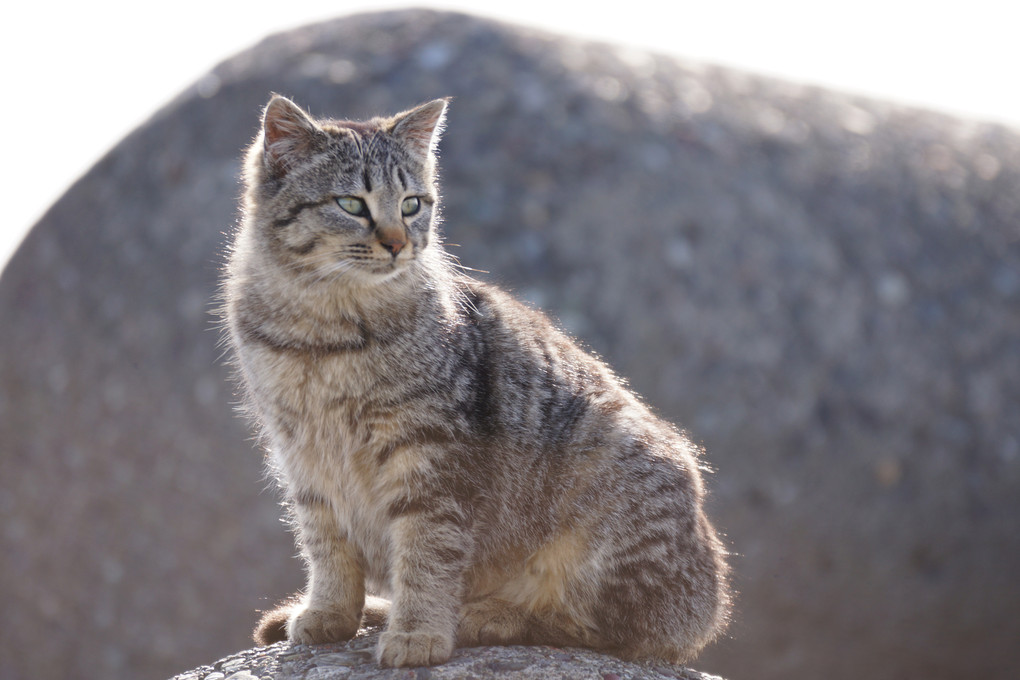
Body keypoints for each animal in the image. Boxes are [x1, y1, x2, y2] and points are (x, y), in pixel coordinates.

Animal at [221, 93, 734, 668]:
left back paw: (484, 615)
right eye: (351, 204)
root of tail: (709, 601)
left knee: (601, 624)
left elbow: (426, 552)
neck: (323, 331)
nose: (399, 244)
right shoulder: (301, 454)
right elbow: (326, 546)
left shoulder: (431, 454)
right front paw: (329, 612)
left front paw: (417, 633)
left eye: (412, 205)